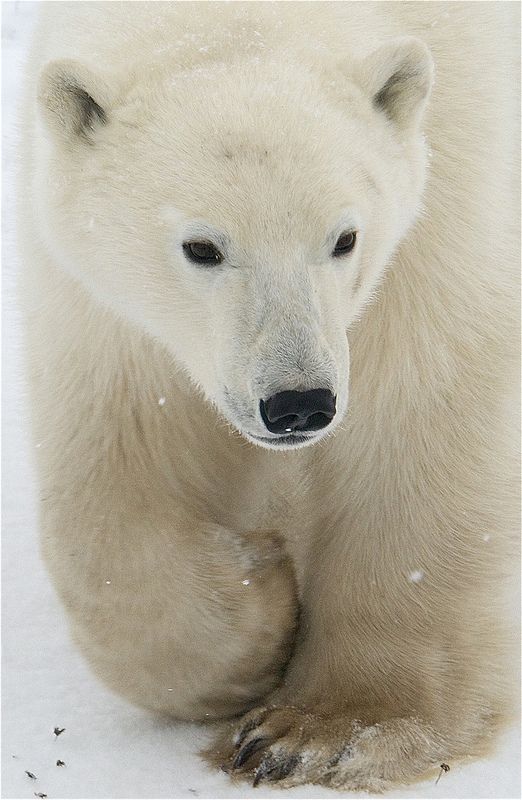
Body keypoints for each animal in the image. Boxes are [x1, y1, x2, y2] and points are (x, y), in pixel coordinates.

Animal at [19, 0, 516, 788]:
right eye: (202, 247)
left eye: (344, 238)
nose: (298, 403)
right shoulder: (106, 315)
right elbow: (117, 475)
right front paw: (262, 617)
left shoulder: (446, 209)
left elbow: (422, 420)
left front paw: (322, 730)